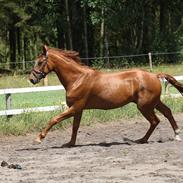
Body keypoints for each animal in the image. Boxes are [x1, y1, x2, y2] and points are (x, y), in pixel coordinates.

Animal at [29, 45, 182, 147]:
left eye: (40, 62)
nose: (31, 79)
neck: (77, 79)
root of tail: (155, 75)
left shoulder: (75, 107)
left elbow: (54, 119)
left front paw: (39, 138)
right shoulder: (78, 109)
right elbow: (75, 127)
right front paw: (70, 143)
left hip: (144, 106)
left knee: (155, 121)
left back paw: (142, 140)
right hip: (154, 102)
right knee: (167, 112)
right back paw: (176, 135)